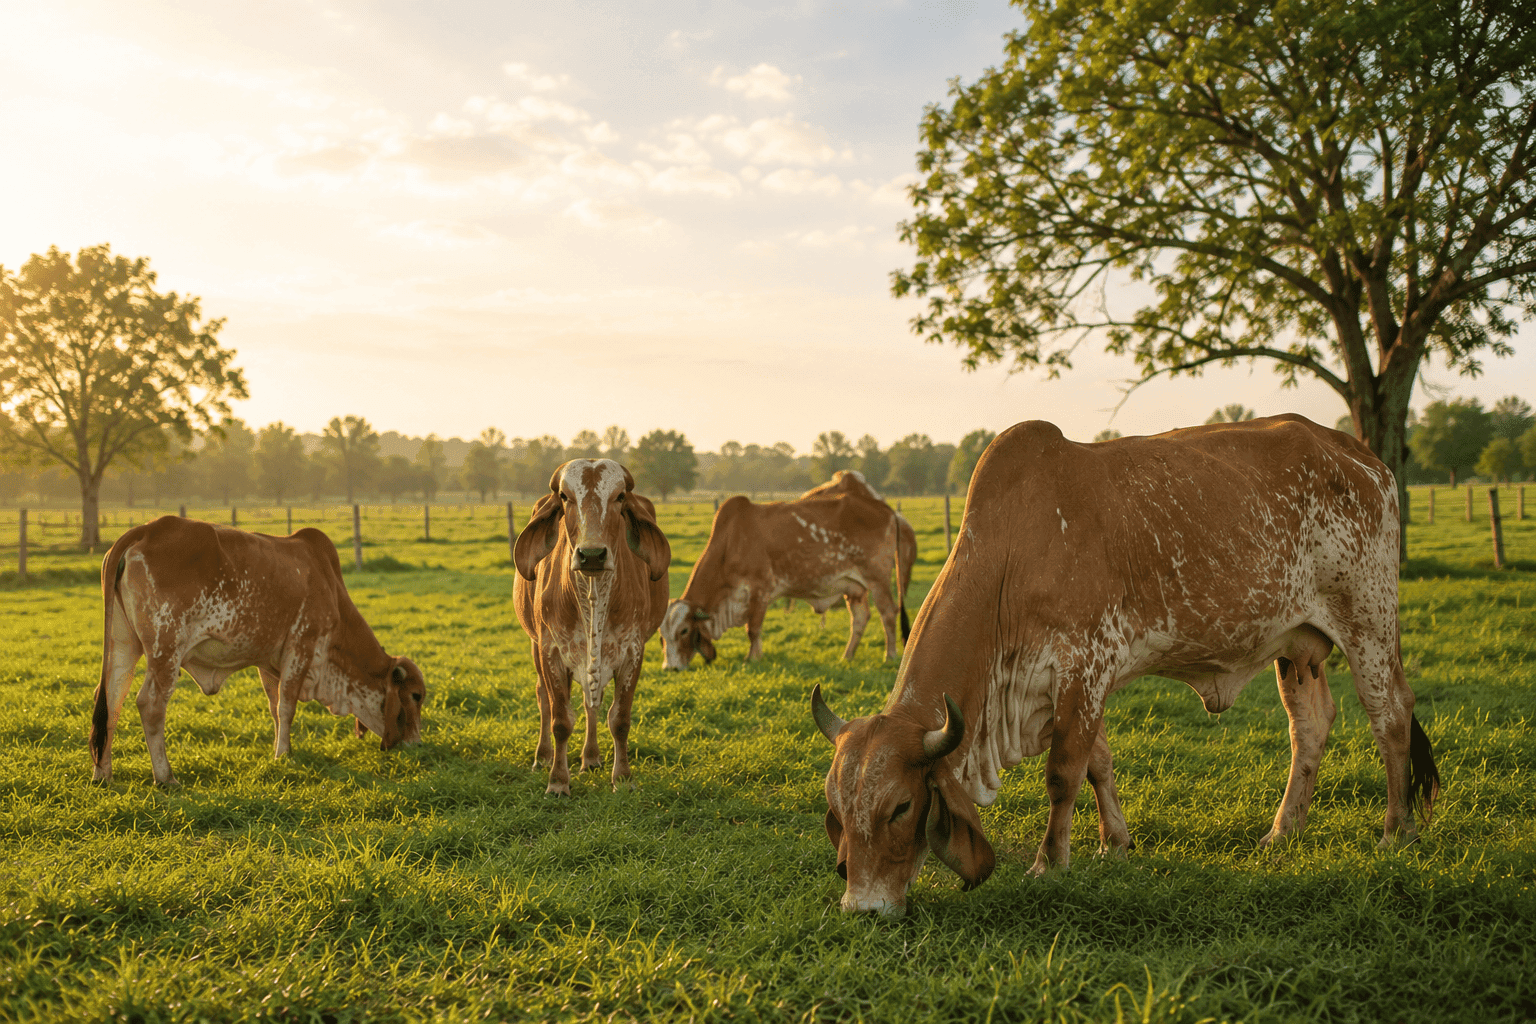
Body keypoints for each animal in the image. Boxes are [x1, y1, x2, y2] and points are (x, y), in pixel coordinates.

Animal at [91, 516, 427, 786]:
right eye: (416, 695)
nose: (417, 744)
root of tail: (147, 529)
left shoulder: (268, 661)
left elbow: (275, 708)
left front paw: (280, 750)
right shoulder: (301, 645)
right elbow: (287, 706)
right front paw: (284, 755)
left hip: (123, 645)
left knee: (111, 698)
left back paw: (102, 775)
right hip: (166, 646)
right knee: (150, 703)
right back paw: (165, 777)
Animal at [513, 459, 671, 796]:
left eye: (620, 496)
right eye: (564, 496)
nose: (592, 555)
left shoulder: (632, 650)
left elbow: (619, 719)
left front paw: (622, 778)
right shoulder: (551, 649)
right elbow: (560, 719)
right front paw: (558, 782)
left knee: (591, 704)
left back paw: (591, 758)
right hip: (535, 644)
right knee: (543, 698)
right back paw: (542, 757)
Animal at [660, 486, 910, 670]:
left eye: (684, 631)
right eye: (661, 635)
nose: (670, 668)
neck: (731, 541)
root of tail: (887, 509)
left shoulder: (760, 591)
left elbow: (753, 629)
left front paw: (752, 658)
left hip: (877, 578)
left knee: (888, 613)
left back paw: (890, 655)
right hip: (854, 587)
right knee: (859, 619)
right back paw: (846, 656)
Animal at [812, 415, 1440, 916]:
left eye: (901, 806)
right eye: (837, 807)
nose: (863, 907)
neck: (1011, 556)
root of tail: (1359, 455)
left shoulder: (1085, 665)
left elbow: (1064, 773)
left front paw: (1050, 863)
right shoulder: (1071, 685)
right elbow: (1099, 764)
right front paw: (1114, 842)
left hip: (1369, 620)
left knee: (1391, 716)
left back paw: (1396, 831)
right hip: (1297, 644)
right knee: (1309, 727)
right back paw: (1283, 831)